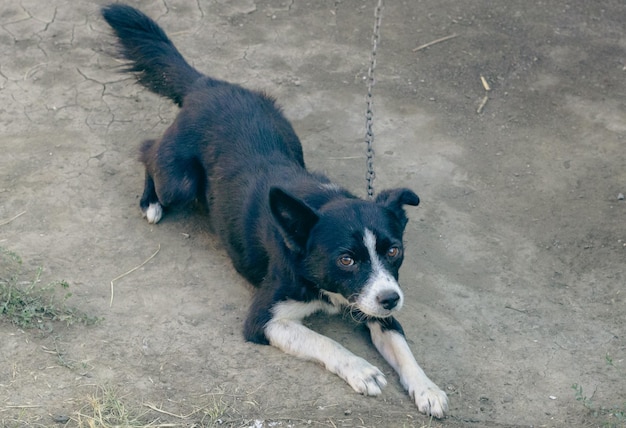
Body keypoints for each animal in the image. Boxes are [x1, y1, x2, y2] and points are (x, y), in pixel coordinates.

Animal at [100, 4, 446, 418]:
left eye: (394, 250)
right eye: (346, 259)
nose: (391, 298)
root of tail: (207, 85)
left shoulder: (373, 302)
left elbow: (402, 346)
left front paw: (427, 387)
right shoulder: (264, 320)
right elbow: (326, 341)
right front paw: (362, 370)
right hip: (179, 182)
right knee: (148, 149)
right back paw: (150, 201)